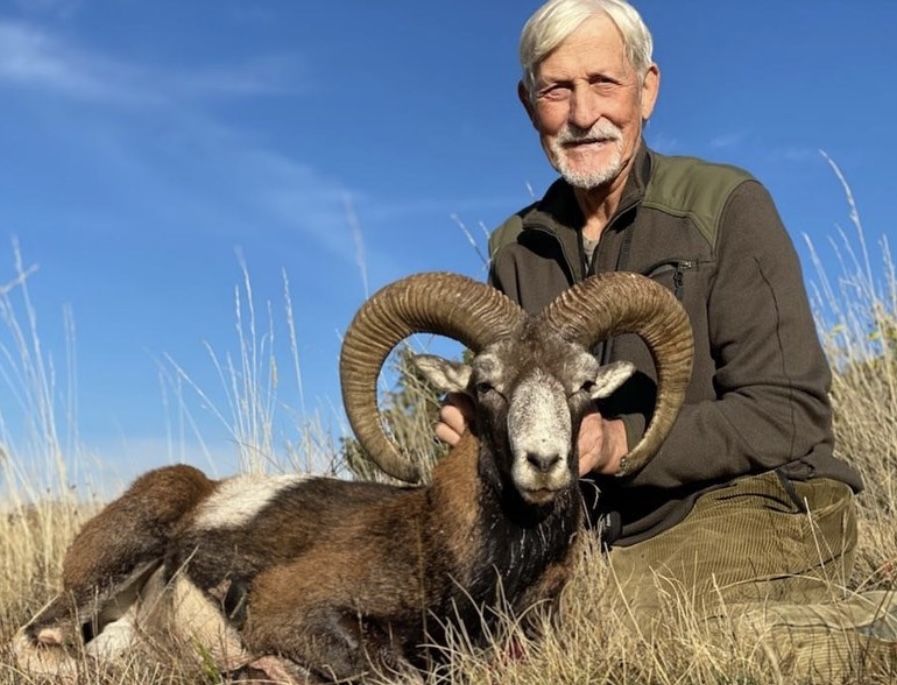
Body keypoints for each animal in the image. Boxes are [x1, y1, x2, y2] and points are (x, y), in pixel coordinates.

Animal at [12, 271, 693, 683]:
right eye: (486, 384)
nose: (544, 463)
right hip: (104, 570)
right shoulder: (295, 610)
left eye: (583, 384)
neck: (440, 552)